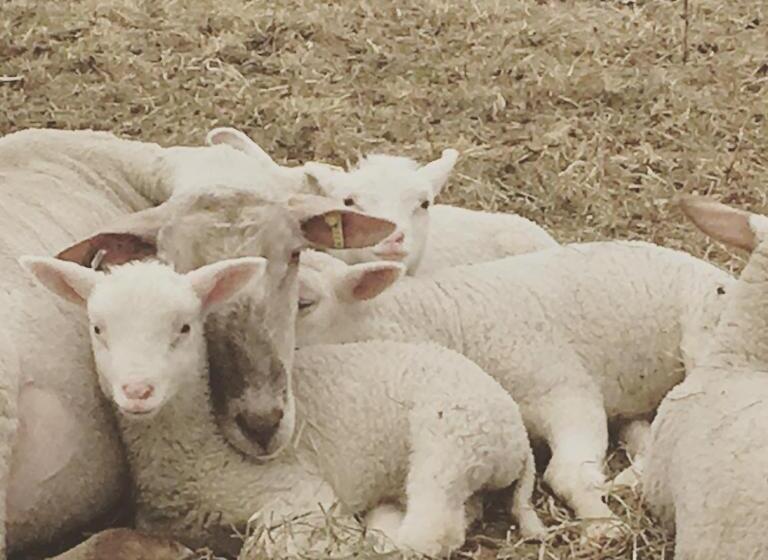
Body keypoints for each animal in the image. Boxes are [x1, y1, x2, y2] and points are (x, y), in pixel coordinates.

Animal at [20, 256, 545, 558]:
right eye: (98, 328)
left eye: (185, 328)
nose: (137, 391)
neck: (201, 451)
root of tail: (517, 438)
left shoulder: (298, 494)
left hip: (451, 437)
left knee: (431, 531)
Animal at [294, 242, 734, 537]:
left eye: (303, 303)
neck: (442, 319)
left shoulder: (567, 391)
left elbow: (567, 472)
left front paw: (602, 524)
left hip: (702, 338)